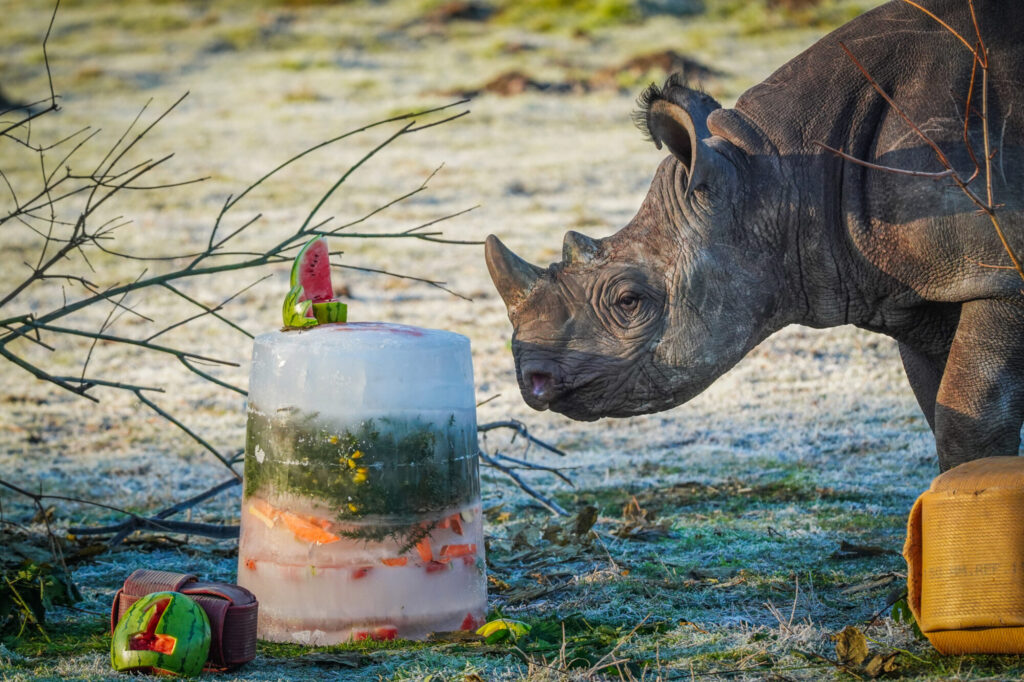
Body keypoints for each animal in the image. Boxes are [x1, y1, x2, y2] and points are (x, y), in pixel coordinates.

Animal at [485, 0, 1024, 472]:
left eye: (629, 301)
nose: (531, 378)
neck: (779, 175)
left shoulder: (999, 276)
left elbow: (969, 421)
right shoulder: (921, 287)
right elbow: (943, 410)